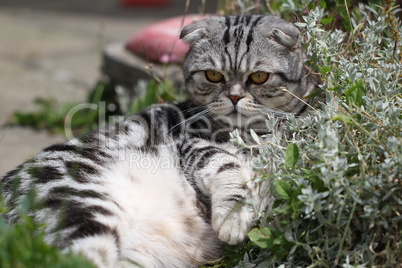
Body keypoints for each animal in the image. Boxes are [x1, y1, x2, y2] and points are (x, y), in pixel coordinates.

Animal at [0, 15, 318, 268]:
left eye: (259, 77)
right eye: (213, 75)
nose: (235, 97)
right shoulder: (195, 145)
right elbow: (229, 170)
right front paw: (233, 218)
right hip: (85, 210)